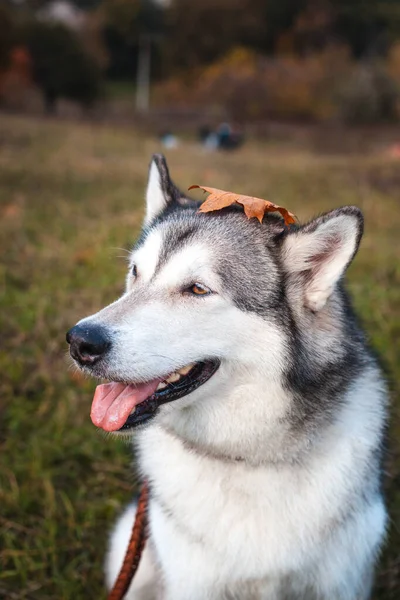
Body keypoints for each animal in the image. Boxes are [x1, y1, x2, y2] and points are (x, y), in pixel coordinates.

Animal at [68, 156, 388, 600]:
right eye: (136, 272)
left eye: (198, 289)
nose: (80, 341)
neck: (248, 457)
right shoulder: (192, 581)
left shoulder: (340, 582)